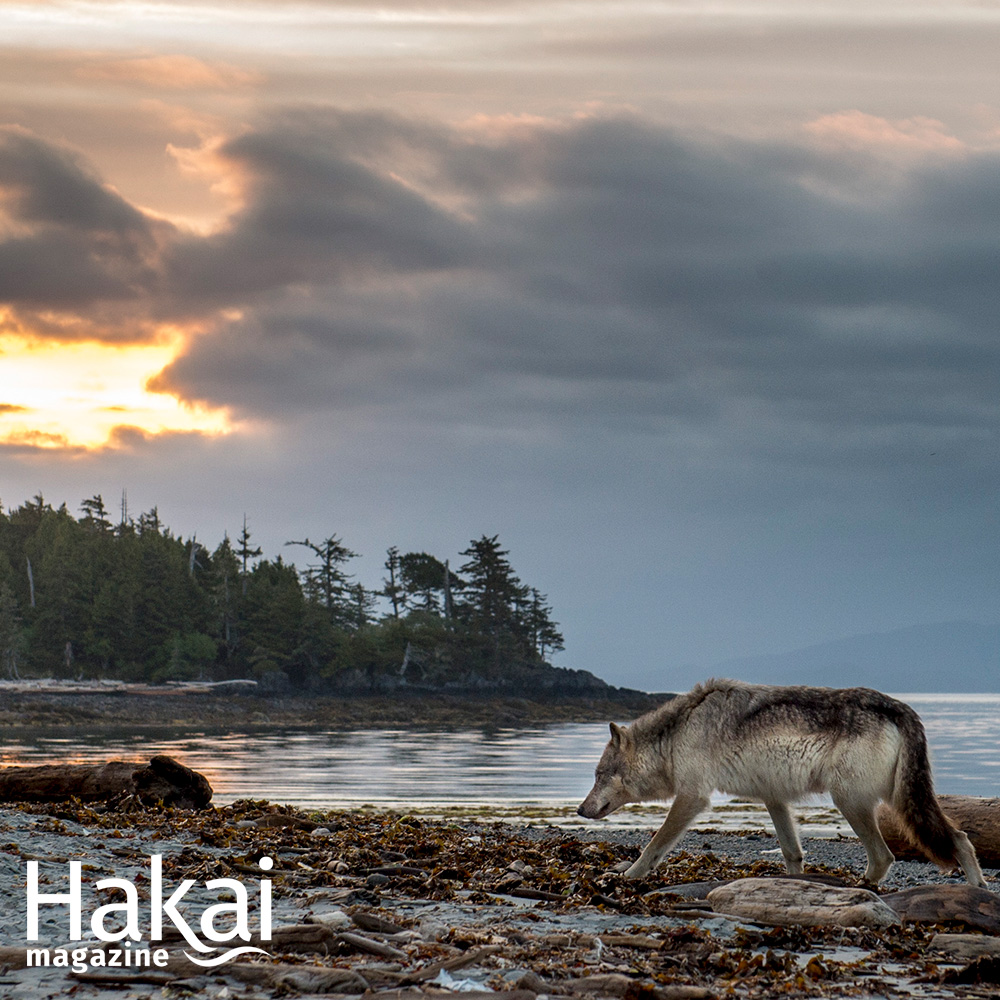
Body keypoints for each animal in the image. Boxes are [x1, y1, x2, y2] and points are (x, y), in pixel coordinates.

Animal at [580, 680, 984, 884]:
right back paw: (978, 892)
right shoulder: (774, 798)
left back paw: (863, 890)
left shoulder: (693, 798)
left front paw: (630, 875)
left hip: (853, 802)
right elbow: (792, 853)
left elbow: (653, 846)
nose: (581, 810)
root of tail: (902, 708)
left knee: (885, 856)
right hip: (898, 800)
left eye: (598, 776)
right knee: (961, 838)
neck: (679, 730)